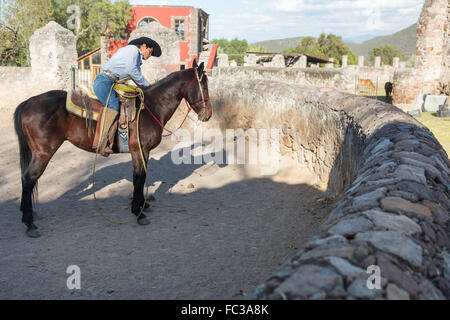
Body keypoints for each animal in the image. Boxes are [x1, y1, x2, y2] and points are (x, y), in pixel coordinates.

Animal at [13, 60, 212, 238]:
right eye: (204, 84)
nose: (208, 114)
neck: (151, 107)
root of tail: (29, 102)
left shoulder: (143, 152)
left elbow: (141, 176)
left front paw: (143, 205)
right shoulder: (139, 150)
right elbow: (139, 178)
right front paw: (138, 212)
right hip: (43, 153)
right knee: (28, 179)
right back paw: (30, 223)